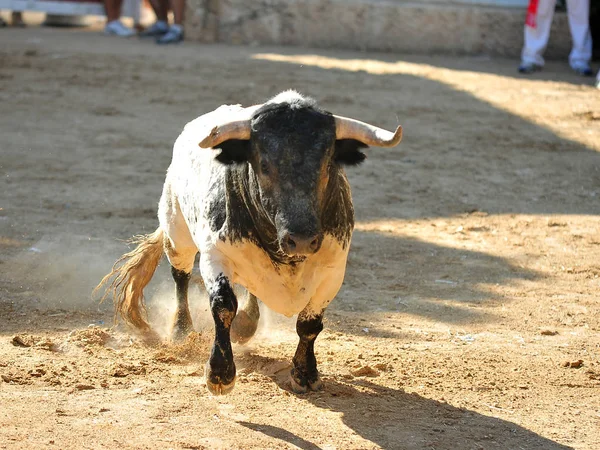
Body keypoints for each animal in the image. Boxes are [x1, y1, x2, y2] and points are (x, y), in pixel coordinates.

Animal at [98, 90, 404, 394]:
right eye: (264, 165)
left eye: (327, 163)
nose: (301, 240)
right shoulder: (215, 256)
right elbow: (223, 306)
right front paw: (220, 373)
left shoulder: (333, 270)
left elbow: (309, 323)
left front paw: (305, 374)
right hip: (177, 231)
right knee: (181, 276)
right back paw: (181, 330)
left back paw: (246, 323)